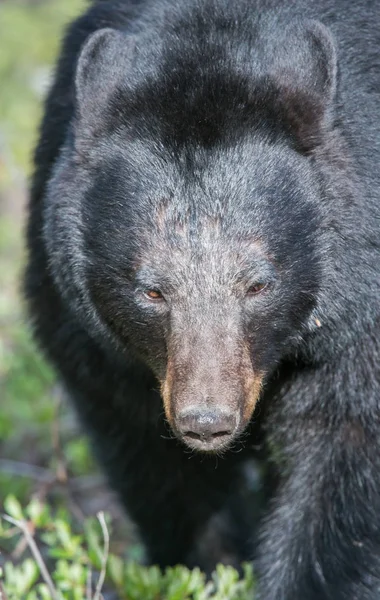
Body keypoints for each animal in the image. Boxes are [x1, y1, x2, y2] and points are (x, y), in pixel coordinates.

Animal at [25, 0, 380, 596]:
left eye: (259, 284)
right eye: (151, 290)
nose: (207, 420)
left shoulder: (361, 315)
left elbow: (345, 456)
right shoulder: (89, 333)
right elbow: (156, 462)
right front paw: (204, 570)